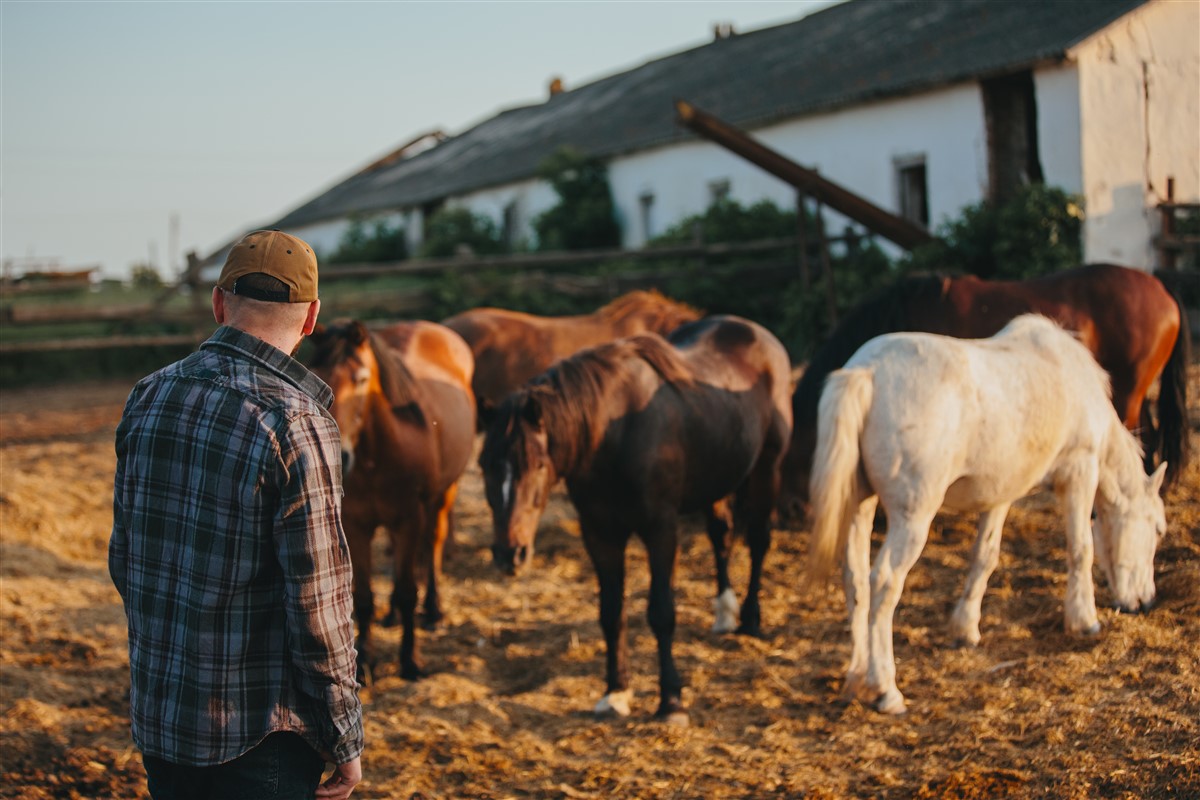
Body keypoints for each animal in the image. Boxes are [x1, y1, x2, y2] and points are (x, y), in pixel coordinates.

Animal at [307, 319, 475, 681]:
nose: (341, 454)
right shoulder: (355, 525)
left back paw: (434, 610)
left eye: (361, 379)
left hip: (443, 496)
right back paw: (393, 614)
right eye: (317, 375)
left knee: (434, 544)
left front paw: (410, 660)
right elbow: (363, 597)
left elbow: (409, 589)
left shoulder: (409, 519)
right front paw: (366, 663)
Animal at [477, 316, 796, 724]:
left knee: (757, 540)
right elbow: (611, 613)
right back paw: (725, 613)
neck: (613, 433)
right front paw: (615, 693)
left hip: (767, 469)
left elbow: (661, 612)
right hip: (717, 478)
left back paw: (751, 621)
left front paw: (671, 701)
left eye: (538, 464)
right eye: (484, 465)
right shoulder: (599, 534)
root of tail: (758, 334)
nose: (509, 555)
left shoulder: (660, 529)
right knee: (721, 536)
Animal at [806, 311, 1161, 714]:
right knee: (884, 583)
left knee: (856, 581)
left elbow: (985, 556)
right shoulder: (1080, 472)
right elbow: (1081, 549)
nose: (1147, 601)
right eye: (1157, 530)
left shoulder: (999, 494)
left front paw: (965, 628)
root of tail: (868, 371)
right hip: (912, 517)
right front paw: (1084, 620)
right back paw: (885, 688)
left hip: (860, 506)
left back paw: (856, 677)